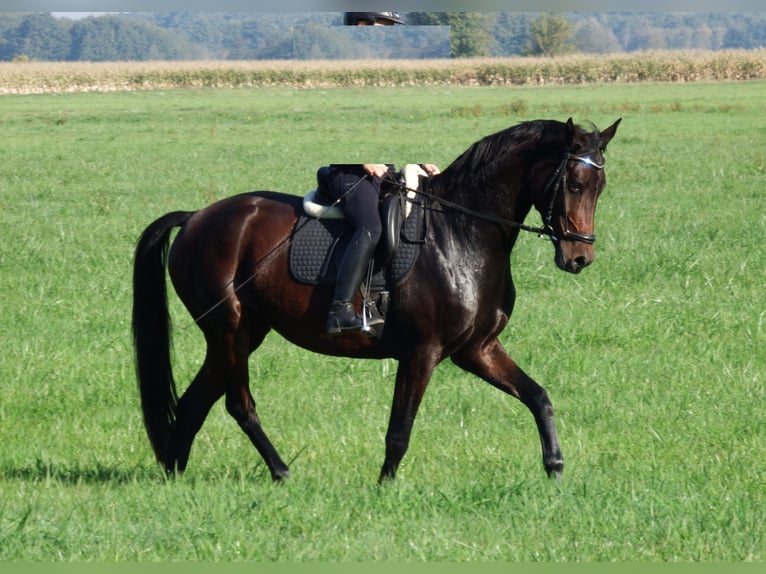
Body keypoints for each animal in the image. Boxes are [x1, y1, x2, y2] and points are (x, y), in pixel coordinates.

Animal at [132, 117, 621, 482]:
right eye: (575, 184)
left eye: (600, 186)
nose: (580, 257)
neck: (462, 233)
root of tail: (196, 217)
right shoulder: (423, 351)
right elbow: (399, 429)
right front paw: (385, 486)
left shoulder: (477, 348)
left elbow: (538, 396)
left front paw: (555, 468)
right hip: (229, 330)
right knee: (238, 404)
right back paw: (280, 471)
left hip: (242, 332)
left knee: (195, 400)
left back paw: (174, 474)